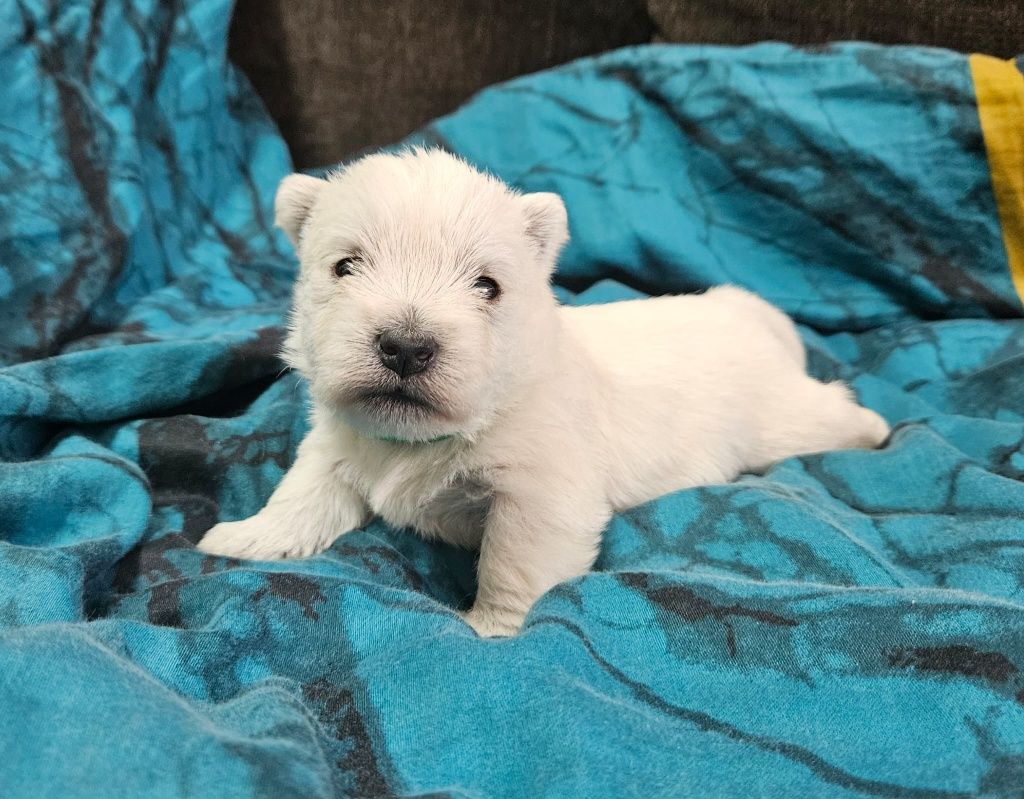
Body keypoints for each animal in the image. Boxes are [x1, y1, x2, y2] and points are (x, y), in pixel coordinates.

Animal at [197, 148, 888, 635]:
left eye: (488, 284)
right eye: (345, 265)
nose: (405, 346)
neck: (429, 437)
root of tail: (744, 313)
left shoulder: (540, 487)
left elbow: (514, 560)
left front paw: (491, 629)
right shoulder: (340, 442)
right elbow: (302, 493)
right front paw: (242, 538)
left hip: (778, 419)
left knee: (829, 413)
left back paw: (878, 428)